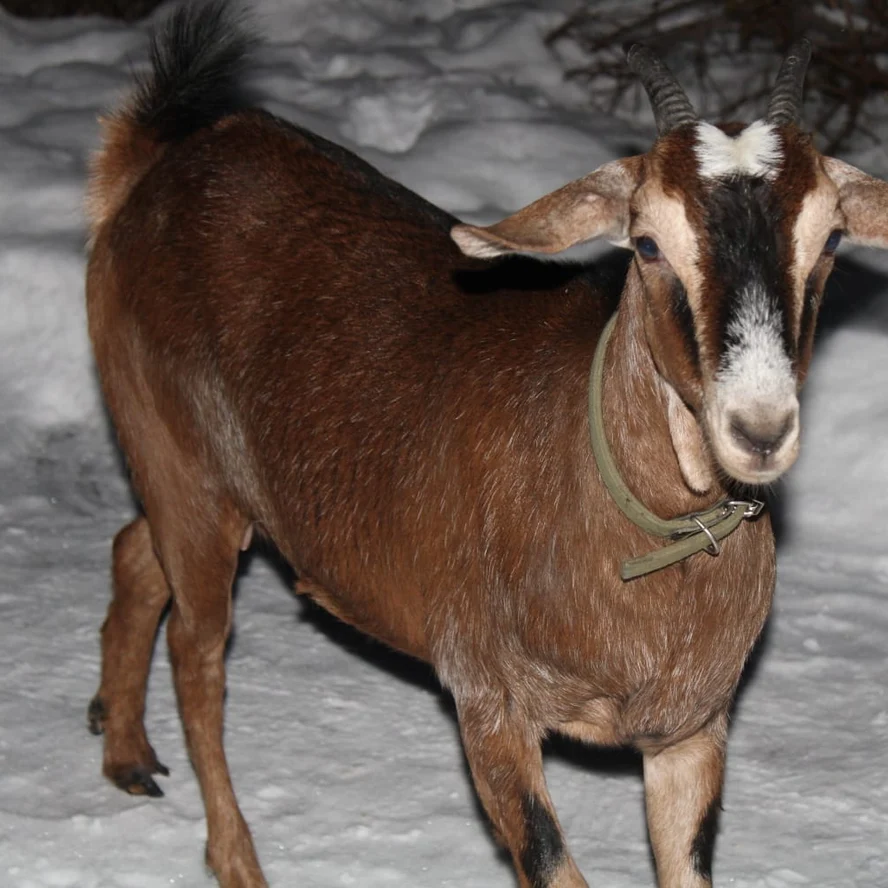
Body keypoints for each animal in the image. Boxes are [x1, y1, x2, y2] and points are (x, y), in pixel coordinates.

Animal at [84, 2, 888, 886]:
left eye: (832, 240)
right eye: (644, 242)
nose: (758, 428)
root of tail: (157, 157)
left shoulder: (692, 726)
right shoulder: (488, 696)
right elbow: (549, 859)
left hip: (180, 466)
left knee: (133, 549)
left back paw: (125, 749)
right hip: (184, 462)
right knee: (196, 652)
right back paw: (236, 858)